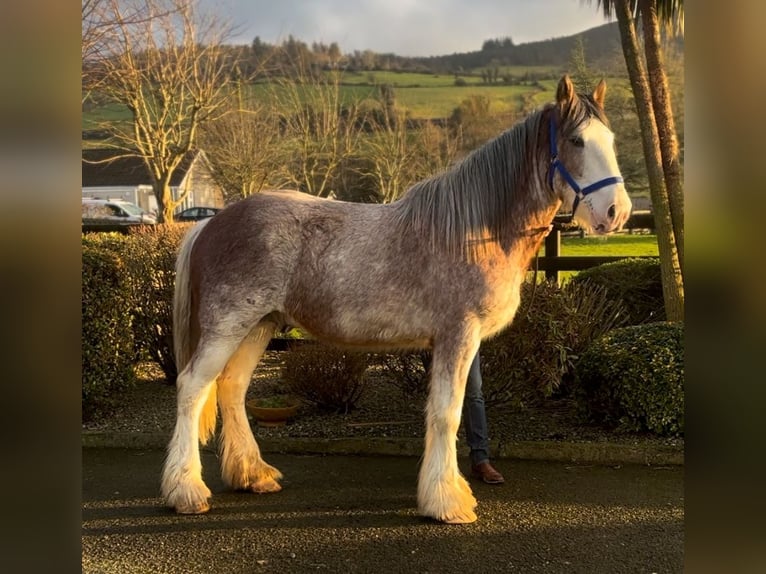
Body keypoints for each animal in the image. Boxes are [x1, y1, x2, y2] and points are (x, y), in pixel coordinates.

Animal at [161, 75, 632, 524]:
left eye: (611, 140)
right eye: (576, 141)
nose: (617, 213)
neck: (473, 231)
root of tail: (210, 224)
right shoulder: (457, 336)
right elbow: (446, 413)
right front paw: (447, 502)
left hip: (260, 326)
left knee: (232, 388)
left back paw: (252, 475)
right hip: (227, 327)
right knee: (192, 388)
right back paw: (186, 491)